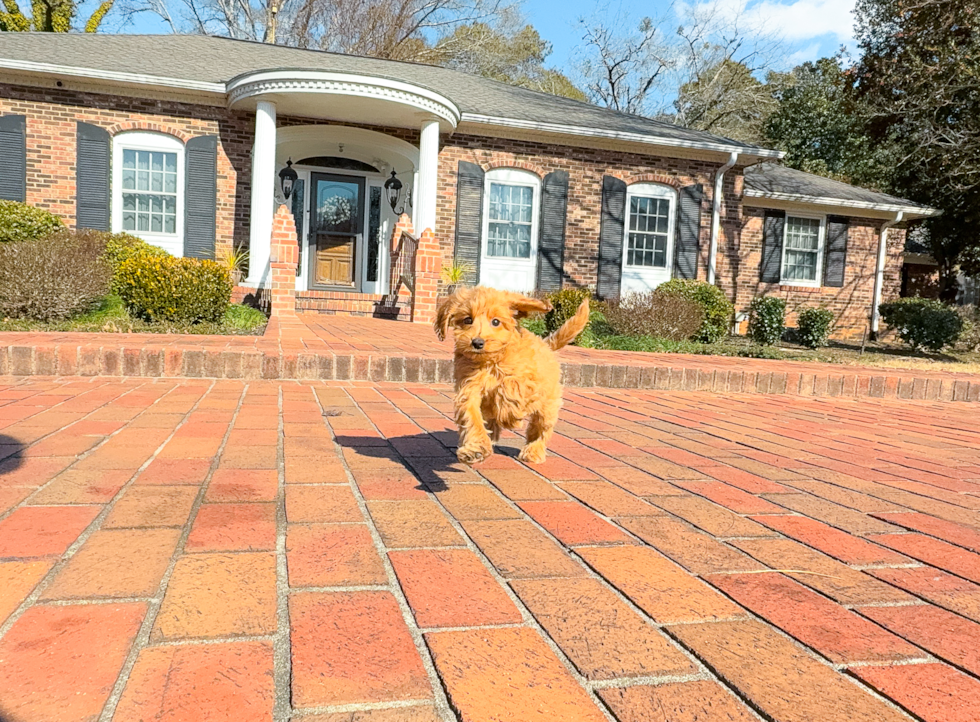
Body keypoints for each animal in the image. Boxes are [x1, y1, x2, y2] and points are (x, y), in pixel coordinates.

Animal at [436, 284, 588, 464]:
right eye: (467, 320)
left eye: (496, 321)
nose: (477, 342)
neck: (490, 361)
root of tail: (547, 345)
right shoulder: (469, 389)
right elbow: (472, 417)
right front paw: (476, 449)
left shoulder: (529, 382)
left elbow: (509, 388)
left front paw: (510, 417)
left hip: (548, 406)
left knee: (540, 430)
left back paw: (533, 451)